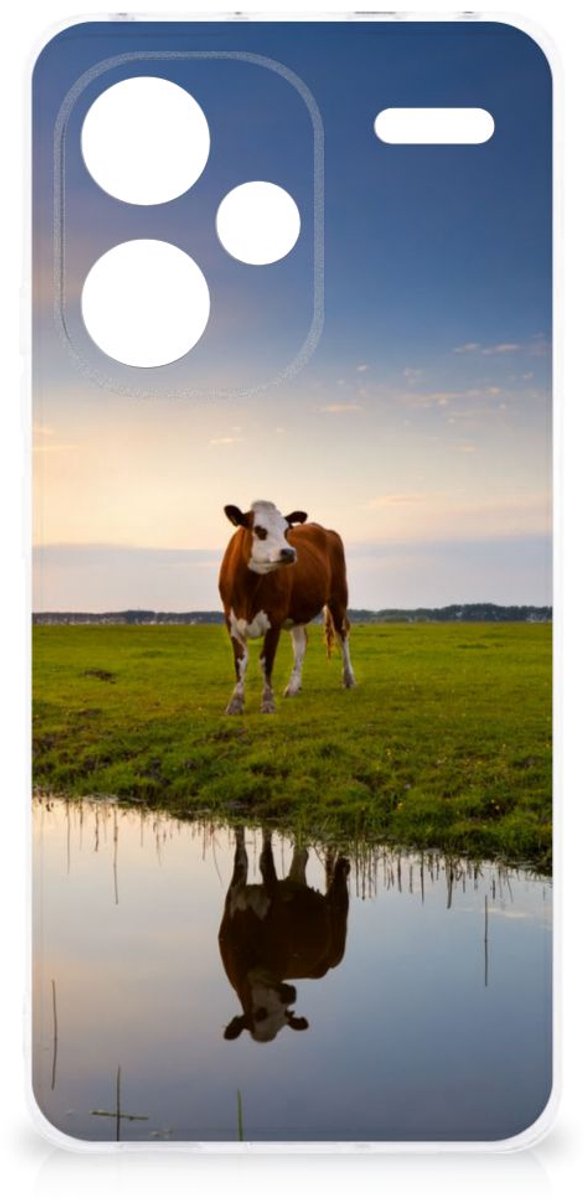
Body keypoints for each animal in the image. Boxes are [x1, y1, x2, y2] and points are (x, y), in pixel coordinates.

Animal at [218, 500, 356, 715]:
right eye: (259, 530)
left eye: (286, 530)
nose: (289, 552)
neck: (248, 591)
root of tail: (324, 530)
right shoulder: (231, 622)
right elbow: (240, 662)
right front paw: (235, 702)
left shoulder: (274, 620)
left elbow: (266, 661)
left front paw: (267, 702)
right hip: (297, 612)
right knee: (301, 642)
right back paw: (293, 687)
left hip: (339, 597)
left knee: (342, 634)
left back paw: (348, 679)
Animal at [218, 827, 350, 1043]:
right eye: (260, 1014)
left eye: (285, 1015)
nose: (291, 995)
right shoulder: (234, 896)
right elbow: (241, 857)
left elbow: (265, 860)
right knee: (301, 856)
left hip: (338, 935)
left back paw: (343, 865)